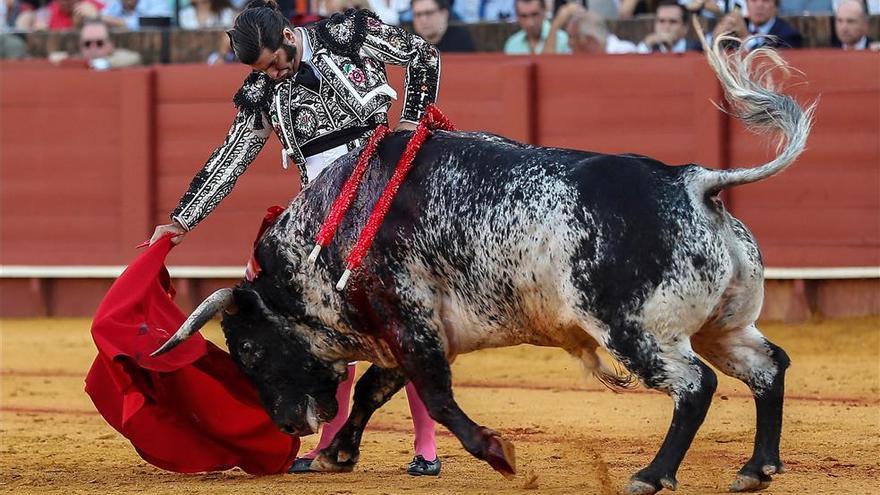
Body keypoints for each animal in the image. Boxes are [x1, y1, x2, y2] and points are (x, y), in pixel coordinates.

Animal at [155, 38, 816, 495]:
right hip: (722, 325)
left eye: (249, 350)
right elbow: (375, 388)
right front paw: (336, 453)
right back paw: (757, 468)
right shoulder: (407, 330)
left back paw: (652, 475)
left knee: (695, 386)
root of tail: (693, 182)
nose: (289, 424)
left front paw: (496, 452)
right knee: (768, 367)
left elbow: (437, 396)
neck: (328, 231)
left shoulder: (408, 317)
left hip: (637, 332)